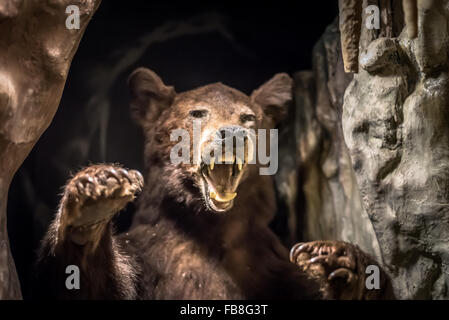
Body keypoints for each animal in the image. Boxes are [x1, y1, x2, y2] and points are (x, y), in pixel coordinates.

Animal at [34, 68, 392, 300]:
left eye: (249, 117)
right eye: (197, 112)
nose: (232, 134)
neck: (209, 228)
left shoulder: (271, 267)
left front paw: (338, 261)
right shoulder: (147, 260)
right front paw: (95, 195)